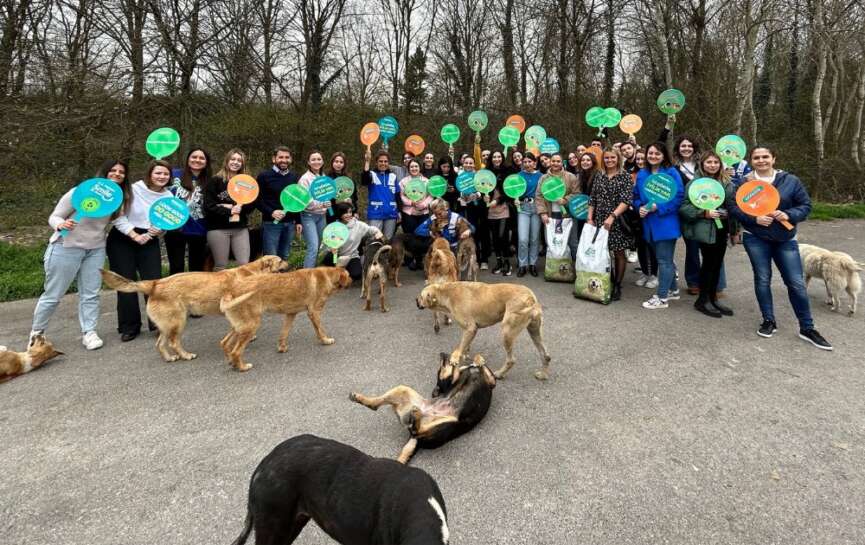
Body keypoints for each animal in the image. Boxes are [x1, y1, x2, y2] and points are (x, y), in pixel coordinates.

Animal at [100, 255, 284, 362]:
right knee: (174, 342)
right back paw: (186, 355)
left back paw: (169, 358)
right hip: (178, 322)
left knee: (160, 344)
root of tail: (155, 284)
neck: (254, 272)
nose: (288, 262)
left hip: (168, 325)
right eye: (281, 260)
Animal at [218, 266, 350, 370]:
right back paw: (242, 367)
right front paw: (325, 340)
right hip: (251, 325)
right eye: (348, 275)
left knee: (224, 342)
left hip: (241, 326)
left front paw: (282, 348)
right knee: (236, 351)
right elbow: (320, 330)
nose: (352, 280)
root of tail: (232, 290)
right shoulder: (314, 312)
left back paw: (232, 362)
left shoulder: (291, 314)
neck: (327, 275)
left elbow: (284, 333)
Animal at [350, 352, 496, 464]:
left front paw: (474, 360)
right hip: (440, 421)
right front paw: (464, 361)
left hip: (446, 422)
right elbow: (453, 373)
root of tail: (415, 440)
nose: (442, 353)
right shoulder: (450, 384)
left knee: (411, 426)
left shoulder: (490, 381)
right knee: (415, 428)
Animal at [416, 280, 552, 378]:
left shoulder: (470, 328)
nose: (416, 300)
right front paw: (465, 355)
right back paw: (543, 375)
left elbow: (460, 347)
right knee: (545, 355)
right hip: (534, 331)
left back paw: (500, 374)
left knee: (511, 360)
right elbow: (465, 345)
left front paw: (456, 358)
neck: (446, 292)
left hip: (507, 332)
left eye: (421, 296)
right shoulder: (470, 331)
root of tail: (531, 298)